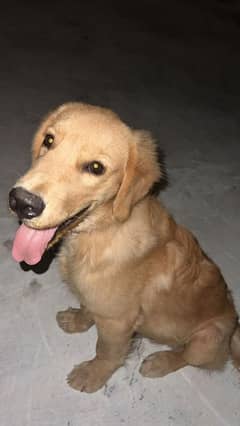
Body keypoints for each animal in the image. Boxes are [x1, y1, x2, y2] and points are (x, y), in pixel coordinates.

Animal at [7, 102, 240, 392]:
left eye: (96, 167)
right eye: (49, 140)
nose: (20, 202)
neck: (100, 232)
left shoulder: (118, 322)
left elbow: (106, 352)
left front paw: (92, 375)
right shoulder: (98, 300)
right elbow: (87, 307)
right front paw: (78, 320)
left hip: (208, 337)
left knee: (186, 355)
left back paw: (160, 362)